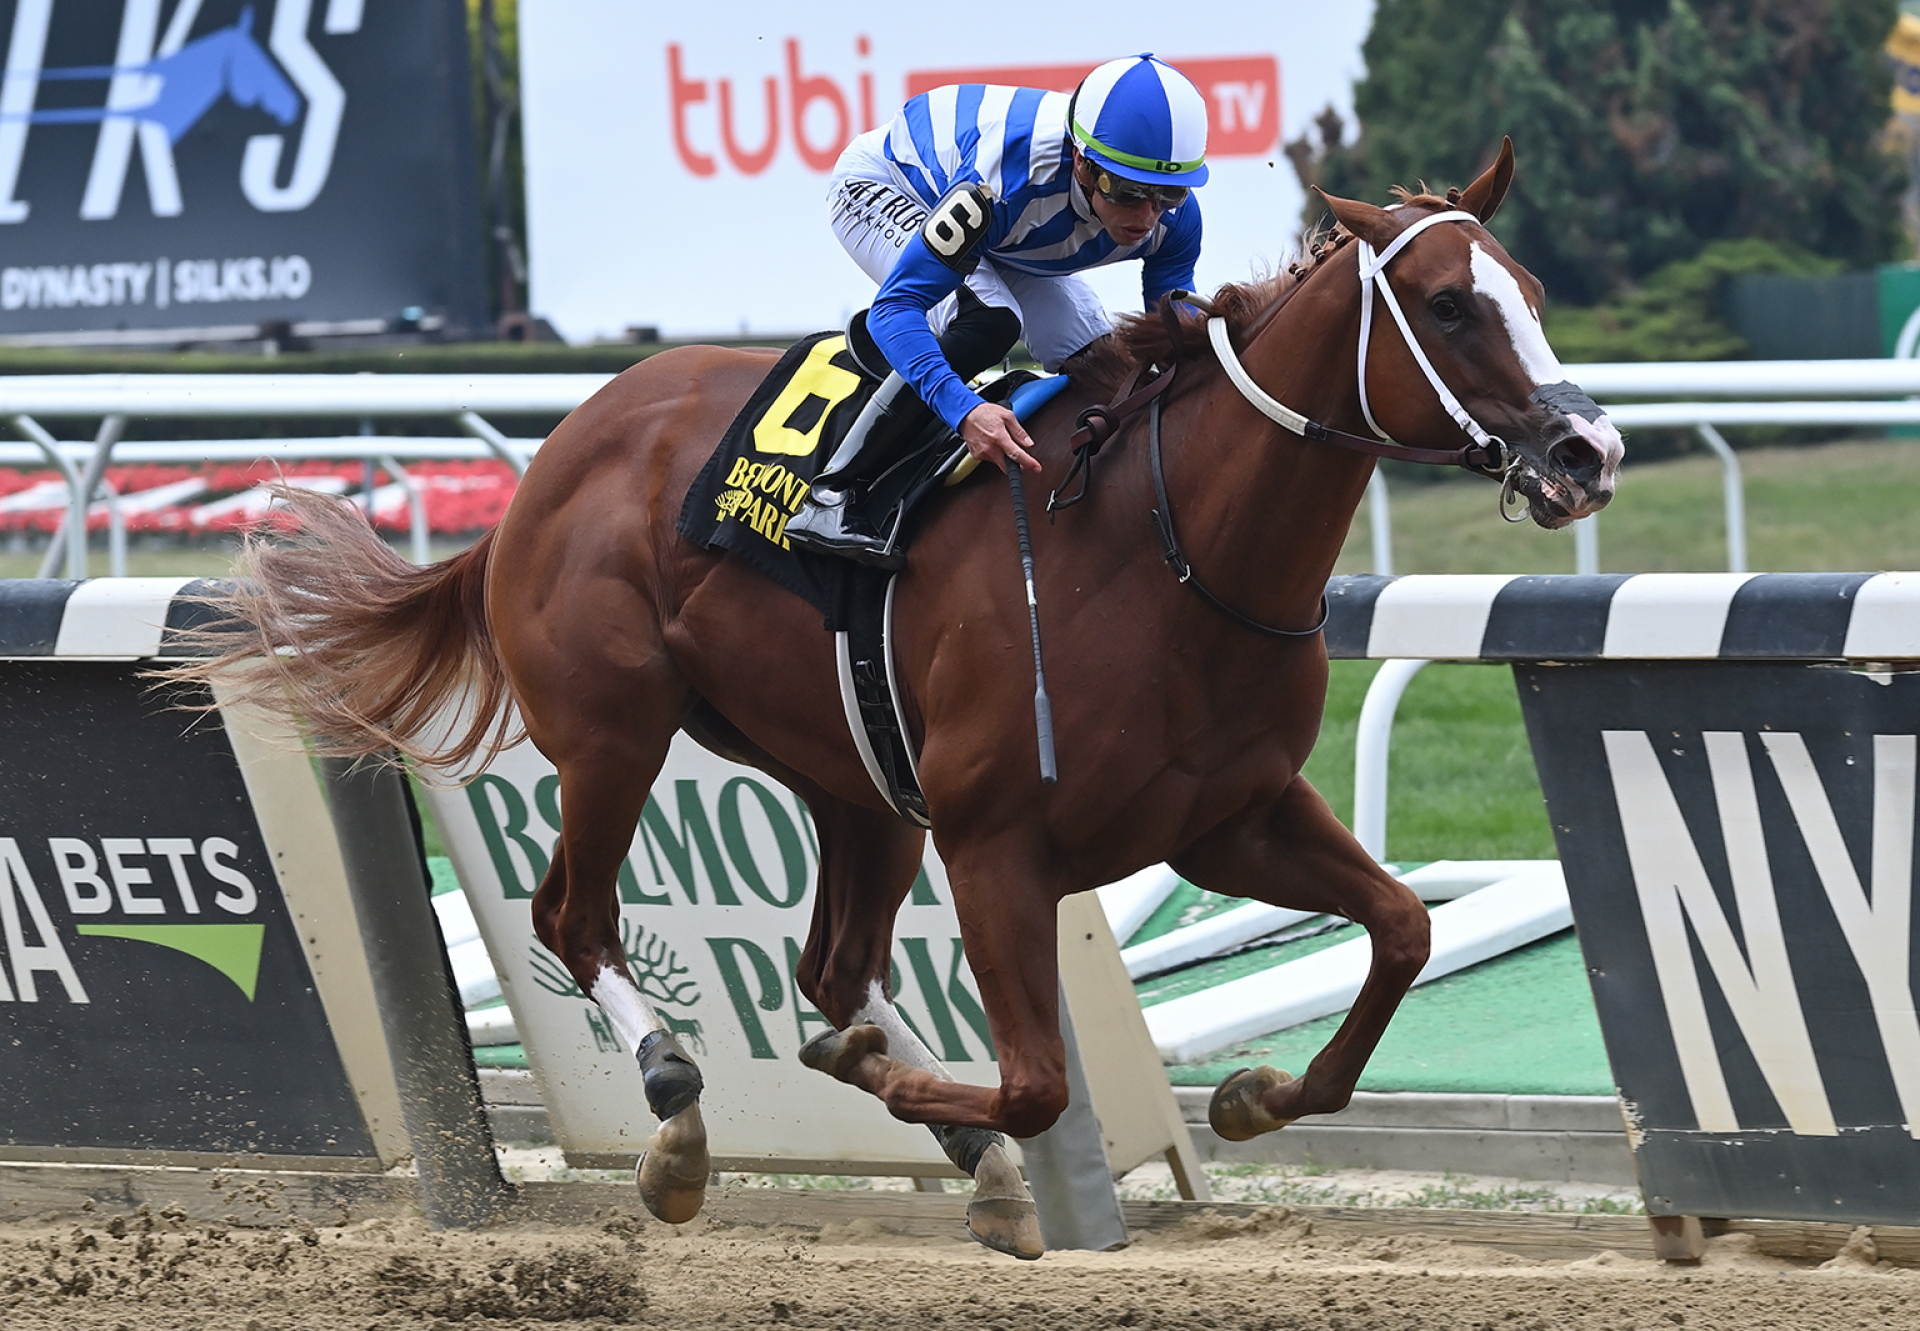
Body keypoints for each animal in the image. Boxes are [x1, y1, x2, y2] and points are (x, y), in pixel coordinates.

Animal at [198, 145, 1620, 1259]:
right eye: (1448, 303)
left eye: (1536, 293)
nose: (1587, 451)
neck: (1165, 549)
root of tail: (552, 458)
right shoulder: (998, 845)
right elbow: (1038, 1083)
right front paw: (894, 1084)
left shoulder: (1233, 814)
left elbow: (1402, 930)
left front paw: (1254, 1093)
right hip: (612, 730)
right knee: (575, 913)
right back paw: (678, 1109)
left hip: (857, 783)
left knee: (829, 963)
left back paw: (940, 1137)